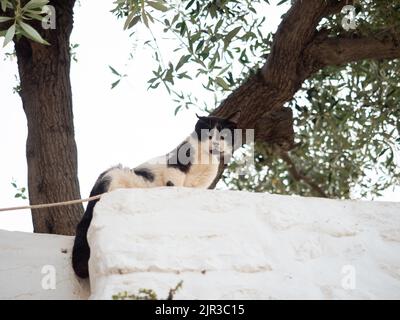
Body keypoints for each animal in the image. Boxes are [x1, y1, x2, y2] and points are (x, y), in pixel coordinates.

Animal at [71, 112, 241, 278]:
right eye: (208, 135)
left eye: (222, 136)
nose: (215, 144)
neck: (205, 159)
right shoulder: (175, 167)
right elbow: (175, 182)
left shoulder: (201, 185)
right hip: (115, 174)